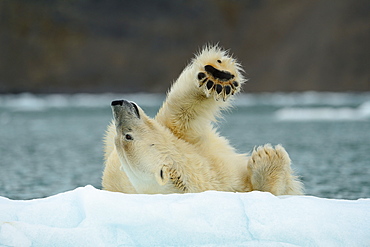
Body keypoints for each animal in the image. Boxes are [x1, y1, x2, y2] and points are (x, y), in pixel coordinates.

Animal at [102, 44, 304, 195]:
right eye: (127, 136)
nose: (117, 103)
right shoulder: (221, 181)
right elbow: (269, 191)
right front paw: (268, 158)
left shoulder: (193, 142)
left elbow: (181, 113)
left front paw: (216, 76)